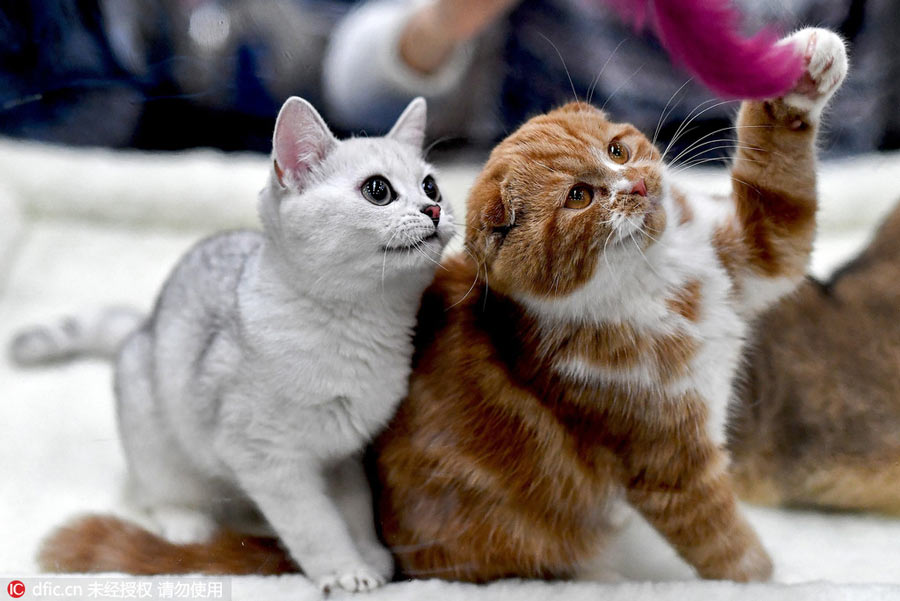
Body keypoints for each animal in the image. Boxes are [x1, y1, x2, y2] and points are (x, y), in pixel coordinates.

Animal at [17, 95, 458, 592]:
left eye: (431, 186)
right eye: (378, 190)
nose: (433, 210)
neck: (360, 329)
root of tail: (144, 327)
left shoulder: (343, 455)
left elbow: (355, 510)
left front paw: (370, 556)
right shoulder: (267, 459)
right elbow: (316, 524)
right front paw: (344, 569)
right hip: (157, 440)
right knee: (159, 493)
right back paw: (187, 525)